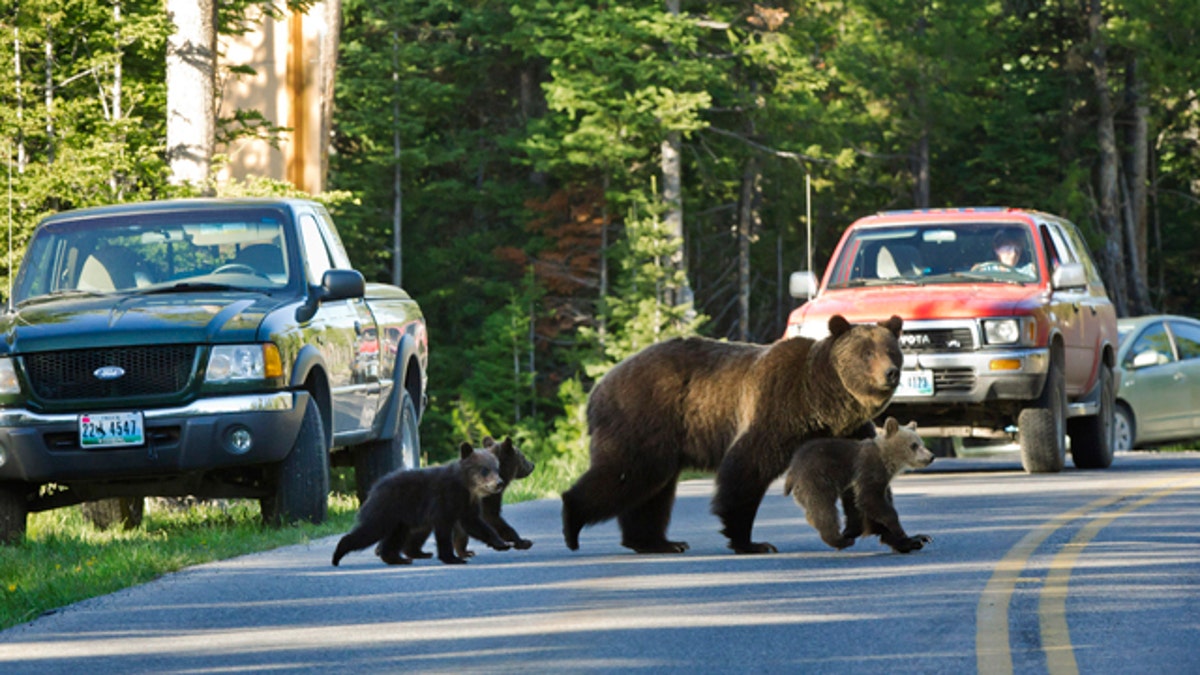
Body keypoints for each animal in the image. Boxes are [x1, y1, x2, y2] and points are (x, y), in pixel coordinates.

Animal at [331, 441, 513, 562]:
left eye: (497, 468)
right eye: (484, 470)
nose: (499, 483)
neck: (466, 486)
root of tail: (375, 487)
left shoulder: (467, 504)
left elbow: (476, 524)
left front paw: (502, 543)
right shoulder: (445, 499)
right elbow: (443, 529)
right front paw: (451, 557)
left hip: (401, 518)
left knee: (396, 536)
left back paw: (400, 558)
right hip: (386, 509)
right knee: (370, 530)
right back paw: (338, 554)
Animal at [403, 437, 535, 557]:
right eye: (523, 457)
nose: (533, 465)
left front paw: (465, 551)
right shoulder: (486, 496)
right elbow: (491, 517)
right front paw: (522, 542)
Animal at [561, 312, 902, 552]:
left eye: (892, 350)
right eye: (867, 353)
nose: (891, 372)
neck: (823, 402)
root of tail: (599, 387)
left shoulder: (851, 433)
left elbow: (870, 485)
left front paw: (898, 536)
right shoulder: (776, 410)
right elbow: (746, 469)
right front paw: (750, 541)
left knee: (652, 489)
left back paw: (657, 542)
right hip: (644, 416)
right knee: (628, 473)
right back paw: (572, 522)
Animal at [777, 415, 936, 552]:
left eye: (921, 443)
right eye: (914, 445)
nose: (931, 456)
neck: (887, 459)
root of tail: (792, 469)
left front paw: (915, 538)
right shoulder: (869, 469)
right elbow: (869, 498)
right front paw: (897, 527)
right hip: (816, 477)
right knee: (823, 507)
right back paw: (839, 539)